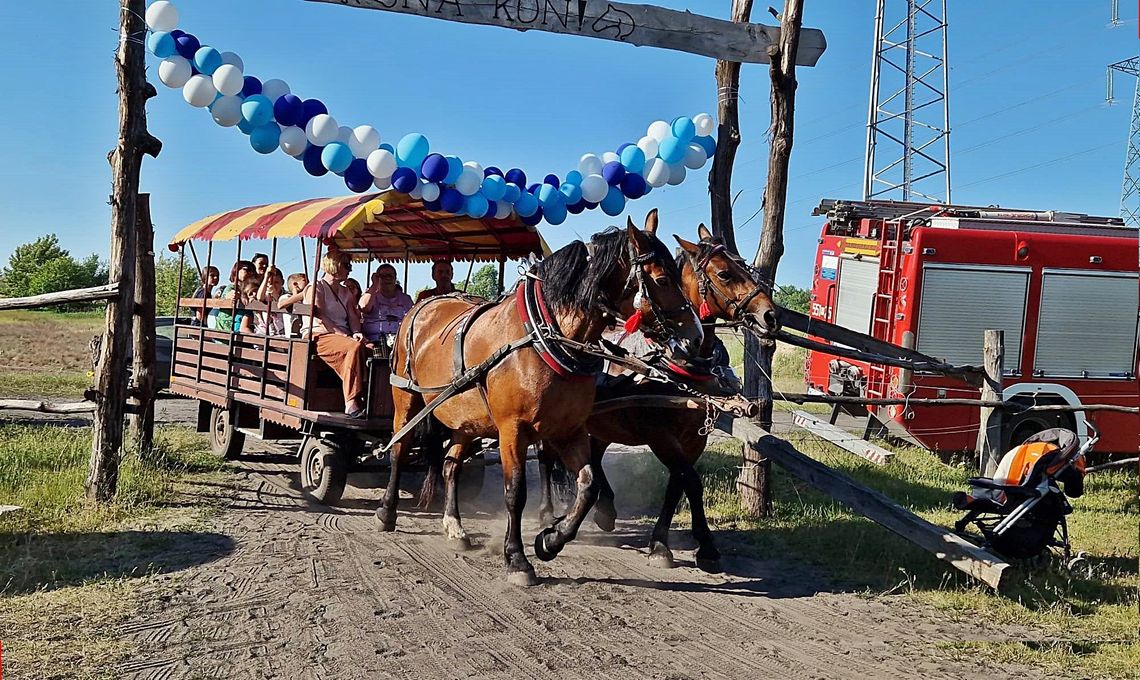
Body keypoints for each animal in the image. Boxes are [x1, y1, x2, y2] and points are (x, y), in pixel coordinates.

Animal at [383, 212, 702, 584]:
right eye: (663, 279)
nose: (695, 338)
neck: (547, 337)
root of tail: (425, 304)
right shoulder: (512, 431)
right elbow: (515, 492)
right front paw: (517, 558)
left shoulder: (569, 429)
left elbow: (589, 485)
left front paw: (551, 539)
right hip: (406, 398)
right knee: (399, 448)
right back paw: (387, 512)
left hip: (466, 418)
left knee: (451, 465)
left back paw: (455, 527)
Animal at [538, 223, 779, 568]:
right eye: (724, 274)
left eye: (744, 267)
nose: (770, 316)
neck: (677, 363)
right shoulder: (660, 435)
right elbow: (690, 480)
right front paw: (693, 545)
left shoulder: (693, 439)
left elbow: (678, 484)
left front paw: (672, 543)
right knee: (546, 457)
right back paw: (548, 511)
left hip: (600, 423)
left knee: (594, 457)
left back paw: (605, 509)